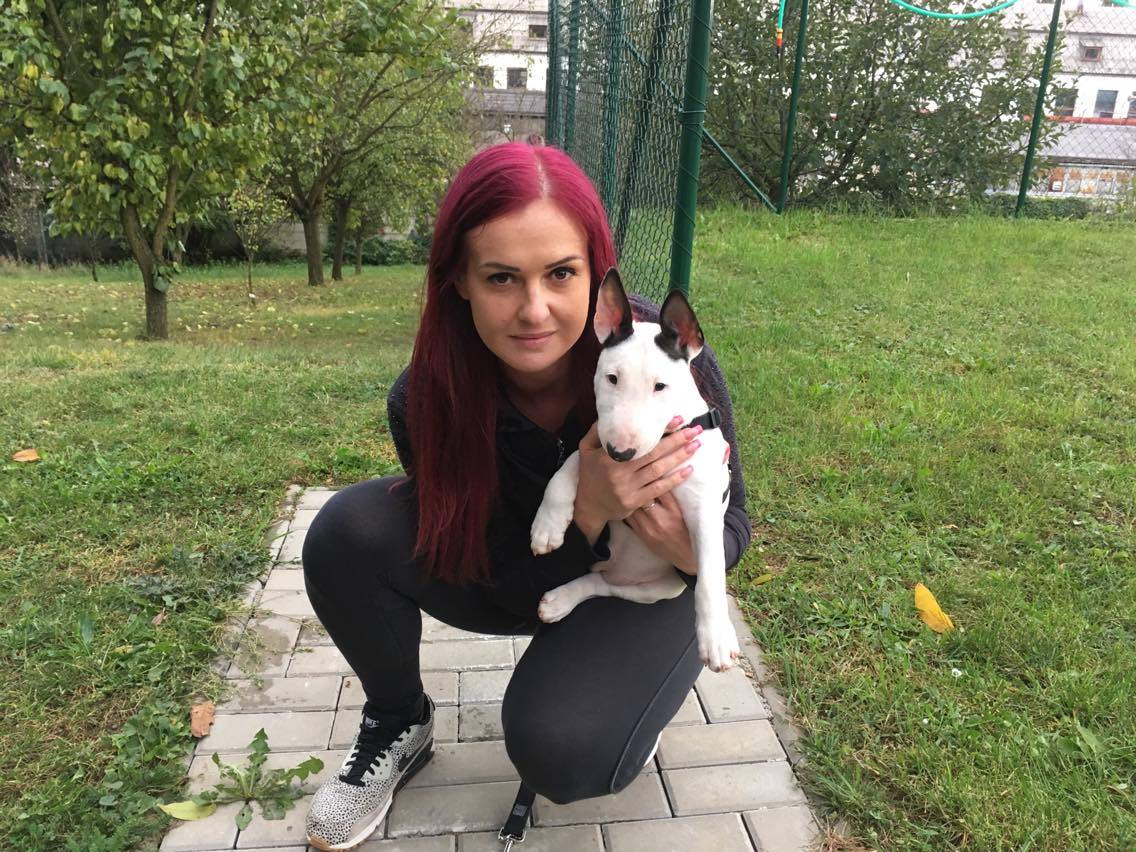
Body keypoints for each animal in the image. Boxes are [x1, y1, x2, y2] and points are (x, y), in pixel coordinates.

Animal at [529, 268, 741, 672]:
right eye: (611, 378)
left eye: (661, 386)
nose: (621, 453)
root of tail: (620, 570)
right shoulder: (595, 443)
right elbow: (565, 471)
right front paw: (547, 527)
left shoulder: (703, 508)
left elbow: (709, 572)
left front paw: (717, 640)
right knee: (602, 586)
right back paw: (560, 599)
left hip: (661, 588)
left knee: (611, 588)